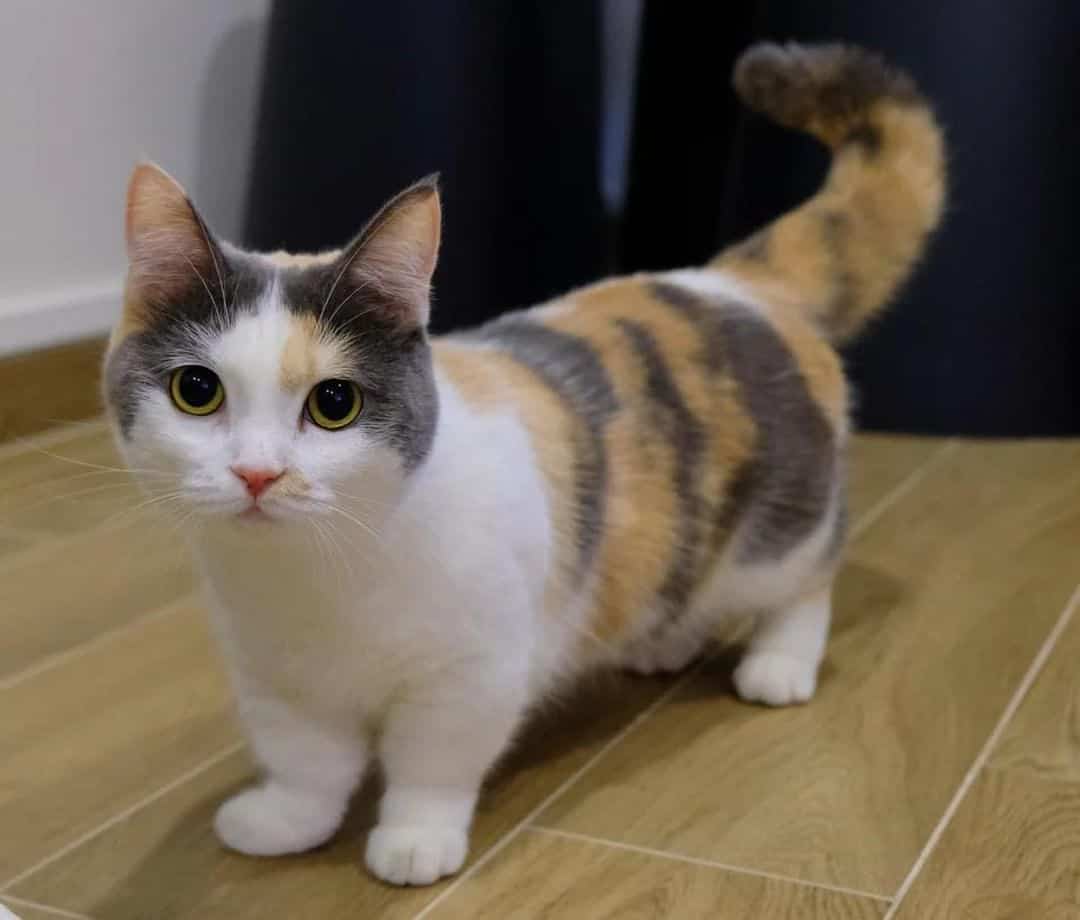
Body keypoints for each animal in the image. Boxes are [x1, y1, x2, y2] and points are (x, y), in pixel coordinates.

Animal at [103, 43, 946, 885]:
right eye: (197, 391)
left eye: (334, 402)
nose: (257, 473)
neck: (313, 581)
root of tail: (732, 283)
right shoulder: (276, 680)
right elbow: (306, 761)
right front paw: (285, 820)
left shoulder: (473, 674)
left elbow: (431, 763)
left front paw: (415, 839)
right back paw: (661, 643)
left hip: (784, 530)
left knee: (808, 579)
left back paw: (779, 663)